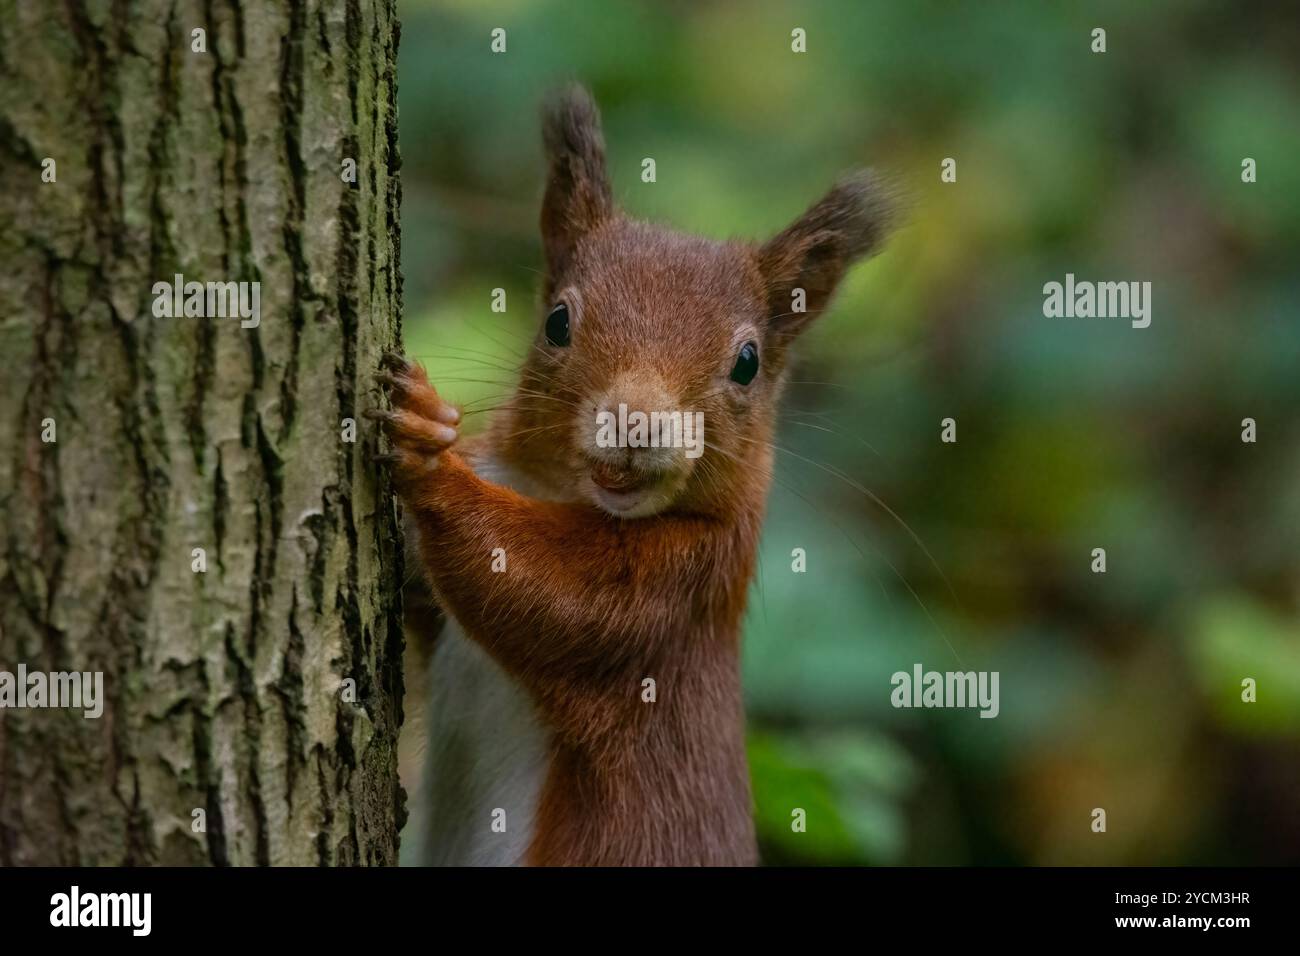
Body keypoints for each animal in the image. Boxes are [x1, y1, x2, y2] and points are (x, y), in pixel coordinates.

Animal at [372, 86, 897, 866]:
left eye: (747, 363)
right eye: (558, 321)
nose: (636, 425)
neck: (555, 490)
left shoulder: (678, 593)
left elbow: (555, 595)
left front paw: (430, 451)